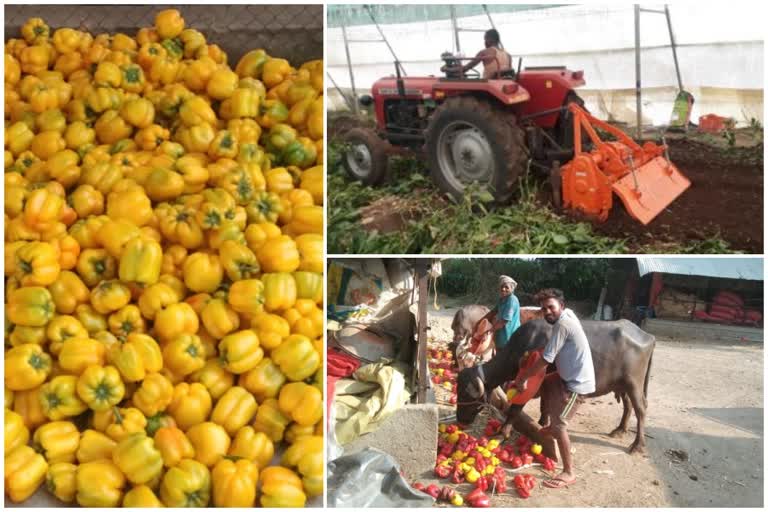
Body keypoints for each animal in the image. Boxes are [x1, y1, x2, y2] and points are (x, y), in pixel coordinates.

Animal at [456, 320, 656, 456]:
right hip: (623, 385)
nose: (460, 420)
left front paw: (502, 433)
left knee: (641, 409)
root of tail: (647, 336)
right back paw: (620, 430)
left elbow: (515, 409)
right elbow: (544, 405)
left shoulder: (529, 385)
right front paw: (543, 423)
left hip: (634, 384)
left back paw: (637, 445)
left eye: (466, 394)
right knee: (628, 406)